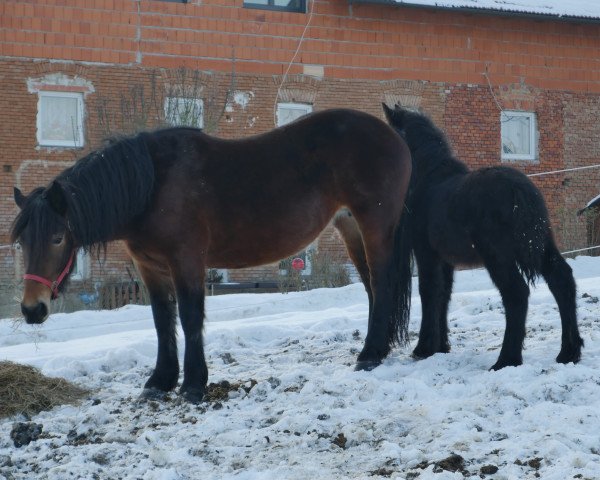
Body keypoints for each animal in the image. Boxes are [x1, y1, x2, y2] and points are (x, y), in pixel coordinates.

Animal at [10, 108, 412, 402]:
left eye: (58, 238)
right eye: (22, 242)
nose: (32, 309)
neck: (153, 185)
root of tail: (392, 135)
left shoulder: (186, 260)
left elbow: (190, 318)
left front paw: (192, 384)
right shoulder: (149, 267)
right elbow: (162, 320)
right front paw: (159, 381)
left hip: (374, 226)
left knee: (383, 284)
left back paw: (370, 354)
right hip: (350, 227)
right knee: (372, 289)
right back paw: (375, 350)